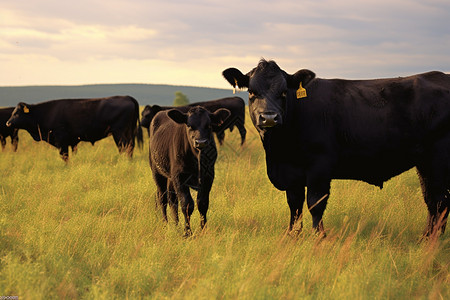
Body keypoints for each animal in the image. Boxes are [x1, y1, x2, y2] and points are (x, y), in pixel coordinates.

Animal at [6, 96, 143, 162]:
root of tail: (126, 97)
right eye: (13, 112)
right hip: (128, 132)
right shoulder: (71, 142)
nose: (8, 123)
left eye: (17, 113)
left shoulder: (61, 140)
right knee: (130, 147)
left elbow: (64, 156)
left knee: (124, 147)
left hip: (119, 132)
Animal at [149, 106, 230, 237]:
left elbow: (202, 203)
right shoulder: (179, 177)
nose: (201, 142)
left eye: (208, 125)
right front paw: (187, 232)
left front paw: (203, 229)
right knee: (162, 198)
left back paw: (176, 225)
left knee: (172, 200)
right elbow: (187, 204)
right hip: (157, 172)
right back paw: (165, 224)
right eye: (189, 125)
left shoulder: (208, 176)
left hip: (170, 178)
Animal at [224, 59, 450, 239]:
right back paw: (425, 238)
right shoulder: (292, 172)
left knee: (440, 201)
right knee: (431, 200)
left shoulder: (320, 165)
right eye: (252, 92)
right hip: (424, 163)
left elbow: (315, 203)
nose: (269, 117)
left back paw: (431, 242)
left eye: (283, 92)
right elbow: (294, 204)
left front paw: (319, 236)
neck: (278, 152)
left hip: (438, 159)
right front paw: (292, 235)